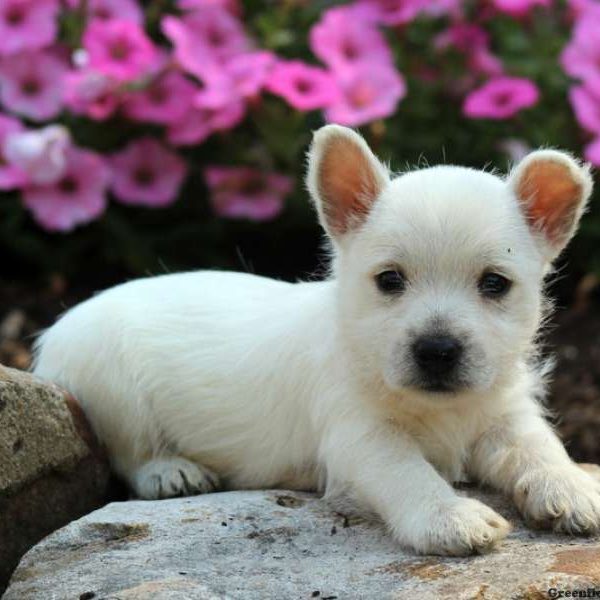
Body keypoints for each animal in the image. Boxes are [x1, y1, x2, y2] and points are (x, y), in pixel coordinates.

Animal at [34, 124, 600, 556]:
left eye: (494, 284)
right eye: (389, 280)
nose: (437, 352)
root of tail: (56, 329)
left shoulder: (506, 416)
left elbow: (541, 447)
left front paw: (572, 487)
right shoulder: (362, 438)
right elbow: (407, 473)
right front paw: (450, 516)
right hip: (110, 385)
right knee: (131, 451)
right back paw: (172, 472)